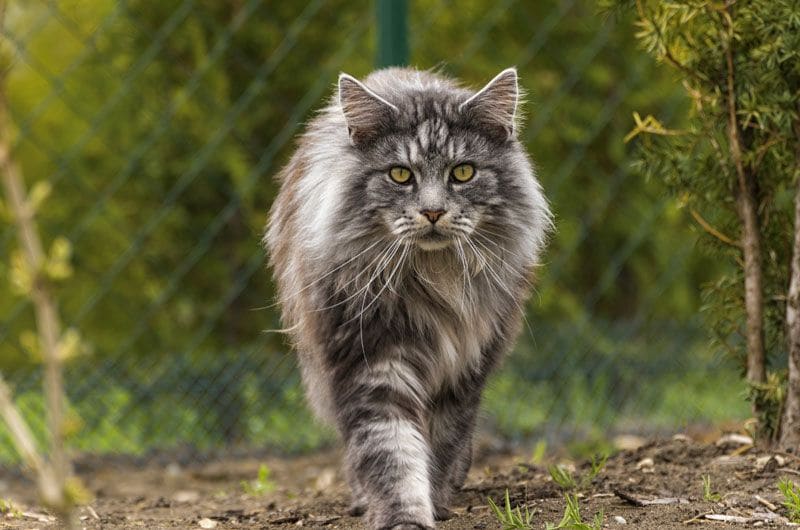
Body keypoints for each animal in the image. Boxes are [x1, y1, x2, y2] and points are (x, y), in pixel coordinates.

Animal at [268, 67, 552, 528]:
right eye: (400, 175)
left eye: (463, 172)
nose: (433, 212)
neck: (433, 281)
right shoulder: (371, 364)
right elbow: (392, 454)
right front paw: (405, 515)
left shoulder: (463, 371)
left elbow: (441, 445)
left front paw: (435, 500)